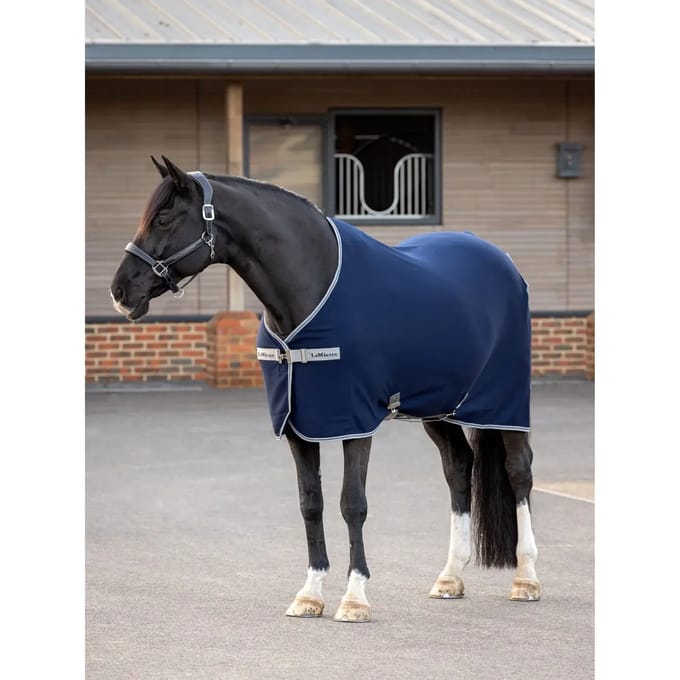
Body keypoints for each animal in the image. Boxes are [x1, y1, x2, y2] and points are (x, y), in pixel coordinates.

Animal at [110, 156, 540, 623]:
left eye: (164, 218)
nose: (120, 291)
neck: (310, 290)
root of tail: (504, 261)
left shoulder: (355, 422)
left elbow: (353, 503)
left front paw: (354, 598)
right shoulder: (298, 425)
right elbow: (310, 502)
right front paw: (310, 594)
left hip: (505, 404)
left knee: (519, 472)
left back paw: (526, 579)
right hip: (438, 408)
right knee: (459, 469)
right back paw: (450, 576)